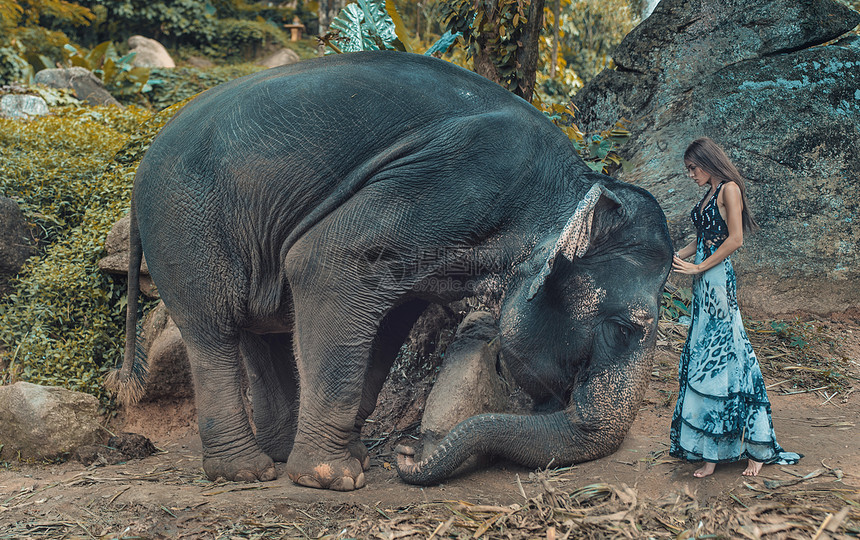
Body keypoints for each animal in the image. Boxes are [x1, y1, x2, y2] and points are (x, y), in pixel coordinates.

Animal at [114, 50, 676, 490]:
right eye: (625, 328)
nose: (409, 452)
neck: (573, 182)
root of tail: (141, 169)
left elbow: (390, 320)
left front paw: (356, 457)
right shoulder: (453, 182)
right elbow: (323, 263)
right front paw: (334, 478)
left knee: (260, 330)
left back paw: (277, 455)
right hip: (184, 224)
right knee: (214, 331)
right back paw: (245, 473)